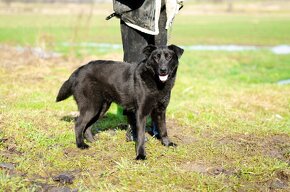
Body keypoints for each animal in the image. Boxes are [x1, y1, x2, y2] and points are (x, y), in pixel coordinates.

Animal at [56, 44, 184, 159]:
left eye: (169, 57)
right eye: (156, 58)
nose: (163, 70)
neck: (157, 83)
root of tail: (78, 70)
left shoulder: (161, 111)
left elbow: (163, 129)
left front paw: (167, 143)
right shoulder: (140, 113)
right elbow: (140, 136)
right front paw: (140, 155)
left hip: (101, 108)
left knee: (87, 127)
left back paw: (93, 141)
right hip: (91, 107)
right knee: (78, 125)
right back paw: (81, 145)